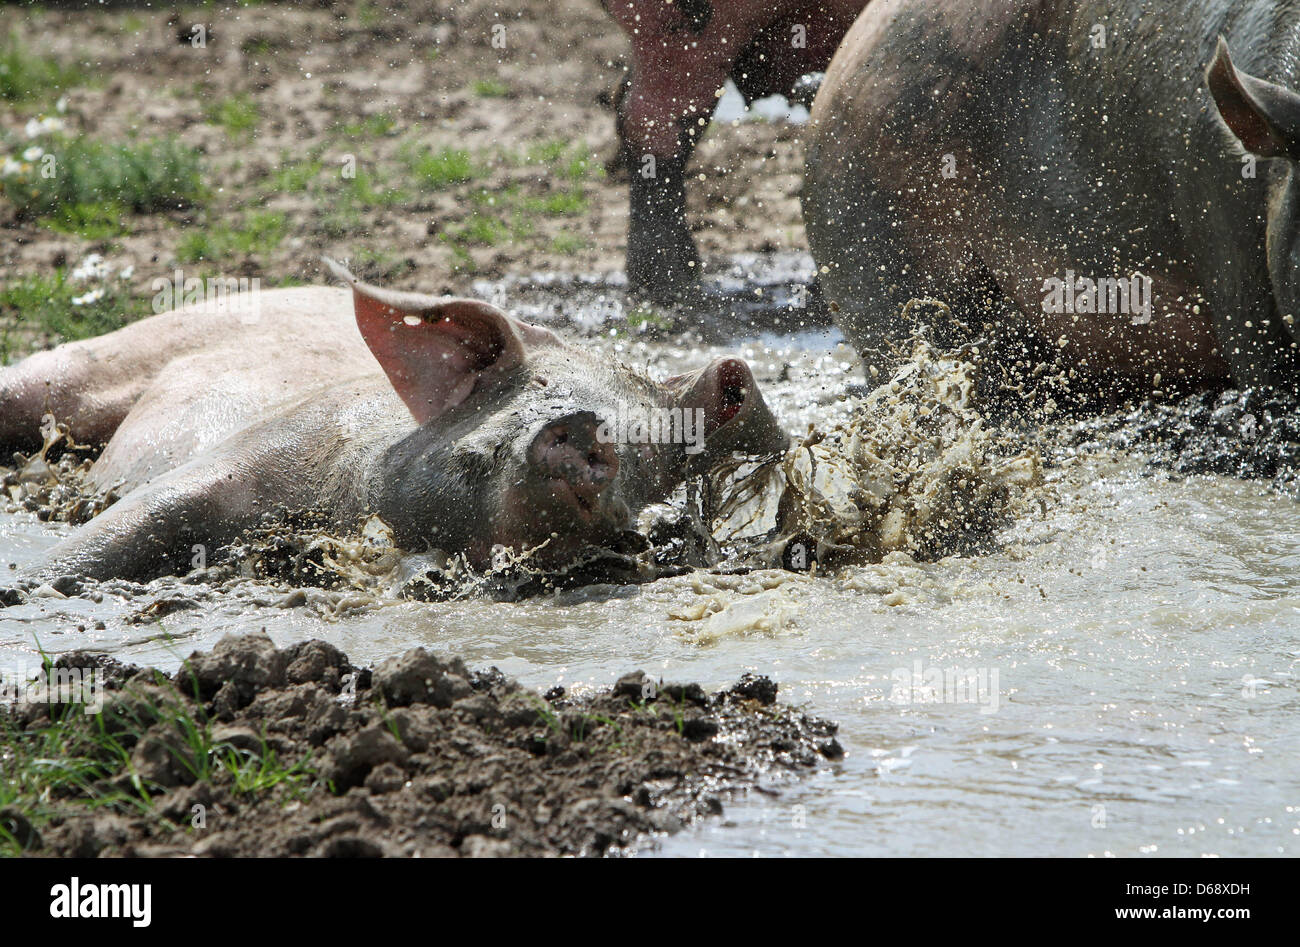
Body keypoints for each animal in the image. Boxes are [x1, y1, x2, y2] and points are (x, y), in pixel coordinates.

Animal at [0, 260, 785, 585]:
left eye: (659, 462)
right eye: (538, 383)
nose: (585, 430)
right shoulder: (257, 447)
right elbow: (116, 532)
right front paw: (30, 587)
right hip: (116, 350)